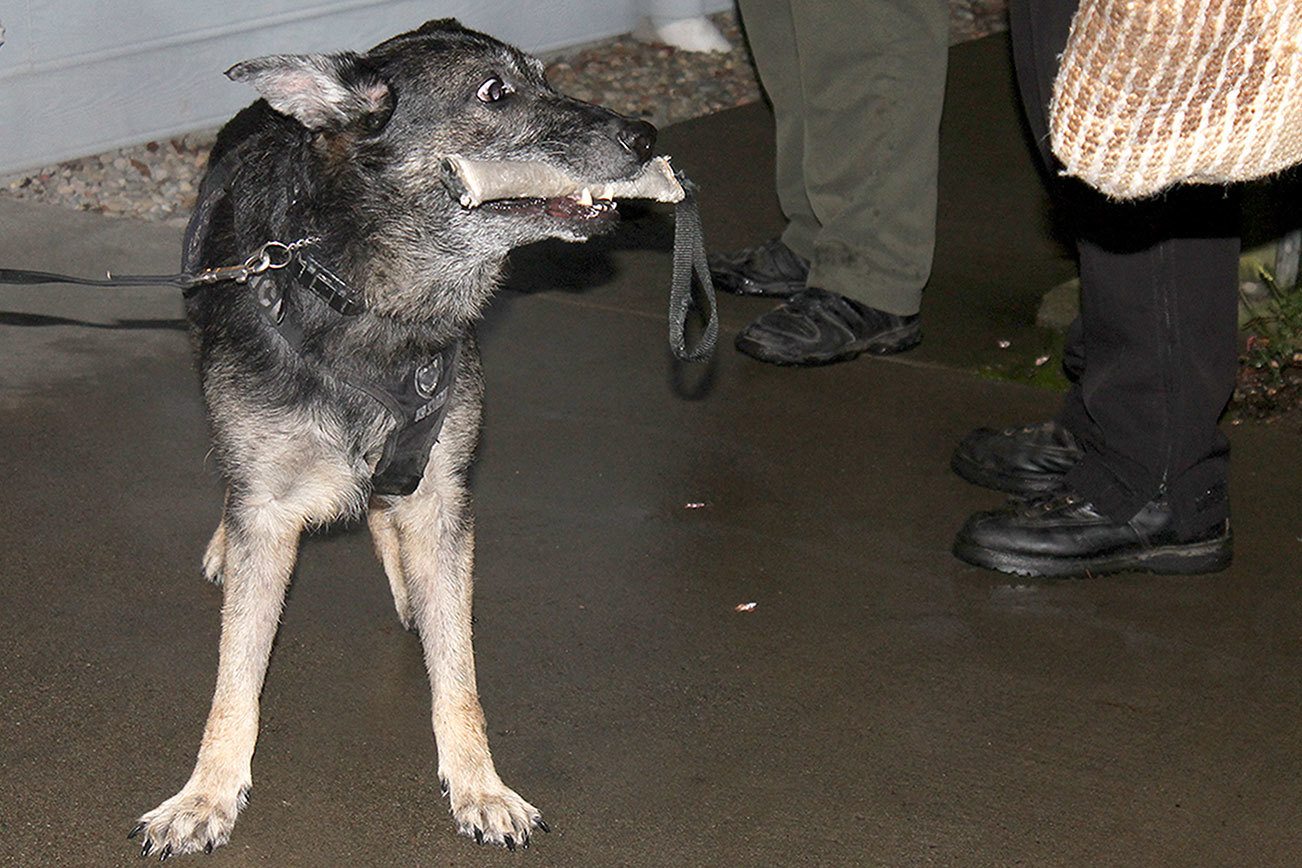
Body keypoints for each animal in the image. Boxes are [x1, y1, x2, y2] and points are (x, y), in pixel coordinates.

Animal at [129, 16, 682, 858]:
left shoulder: (442, 491)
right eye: (494, 92)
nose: (646, 134)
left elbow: (457, 670)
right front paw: (208, 792)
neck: (364, 301)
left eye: (547, 78)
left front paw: (480, 783)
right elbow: (236, 676)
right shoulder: (269, 509)